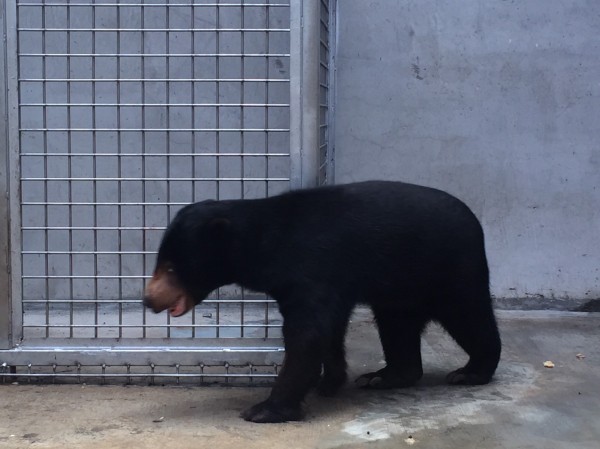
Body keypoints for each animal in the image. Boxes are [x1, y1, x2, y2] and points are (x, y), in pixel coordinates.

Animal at [144, 180, 502, 422]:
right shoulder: (319, 283)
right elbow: (329, 330)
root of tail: (475, 221)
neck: (267, 243)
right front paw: (330, 382)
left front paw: (265, 409)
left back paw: (470, 372)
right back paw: (381, 376)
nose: (149, 298)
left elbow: (307, 334)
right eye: (160, 261)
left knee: (468, 314)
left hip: (447, 267)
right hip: (400, 288)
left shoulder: (313, 267)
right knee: (397, 325)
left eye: (172, 266)